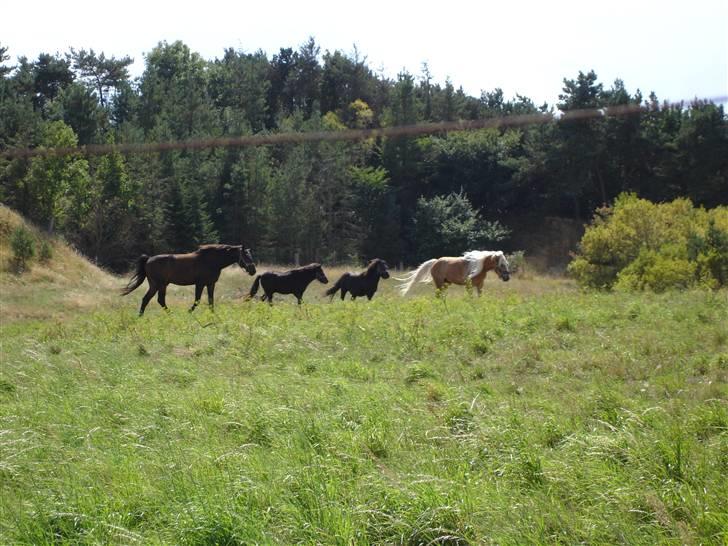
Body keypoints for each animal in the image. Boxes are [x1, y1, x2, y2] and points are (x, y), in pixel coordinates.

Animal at [125, 243, 258, 314]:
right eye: (245, 255)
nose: (253, 270)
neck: (212, 261)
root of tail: (148, 259)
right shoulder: (200, 284)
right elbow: (197, 300)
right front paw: (189, 312)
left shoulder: (211, 284)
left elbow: (211, 301)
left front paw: (213, 314)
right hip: (159, 284)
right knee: (152, 299)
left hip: (159, 285)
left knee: (153, 300)